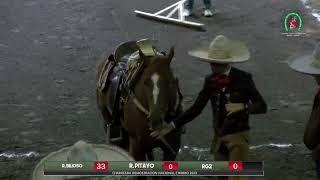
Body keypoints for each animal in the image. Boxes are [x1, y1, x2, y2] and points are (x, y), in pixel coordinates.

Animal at [95, 46, 182, 174]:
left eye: (170, 81)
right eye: (145, 81)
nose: (156, 120)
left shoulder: (171, 151)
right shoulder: (137, 149)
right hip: (108, 121)